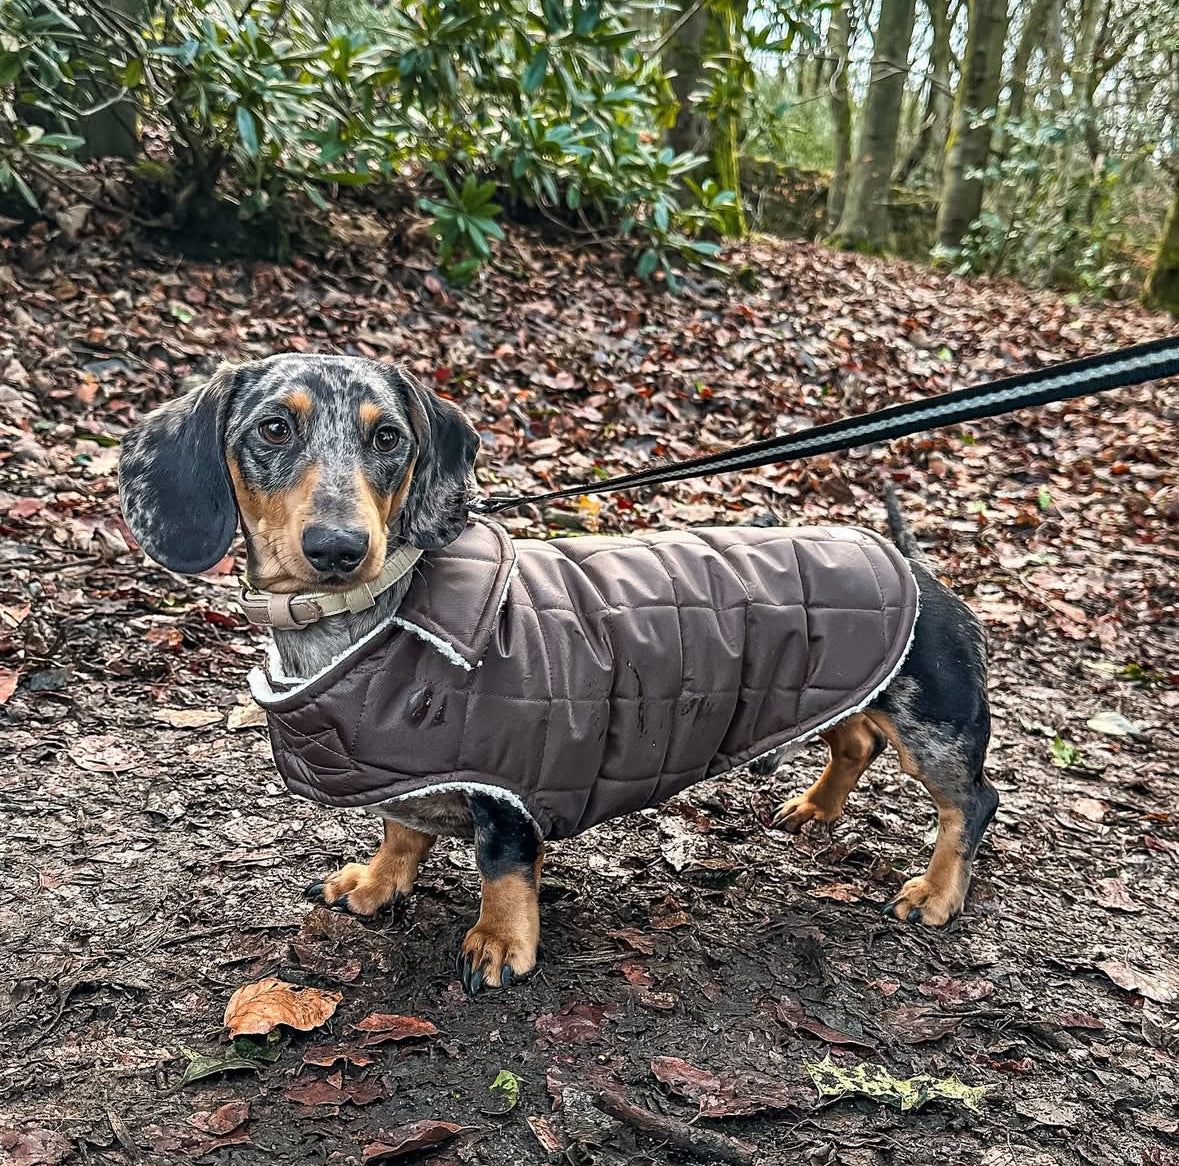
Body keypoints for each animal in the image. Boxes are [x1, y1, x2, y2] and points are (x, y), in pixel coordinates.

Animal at [119, 356, 999, 990]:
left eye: (388, 439)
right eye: (272, 429)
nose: (338, 548)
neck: (372, 617)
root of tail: (914, 562)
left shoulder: (507, 780)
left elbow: (503, 868)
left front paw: (497, 945)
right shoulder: (403, 767)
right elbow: (401, 831)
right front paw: (374, 882)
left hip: (936, 724)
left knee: (970, 804)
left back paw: (934, 893)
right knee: (854, 742)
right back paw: (815, 809)